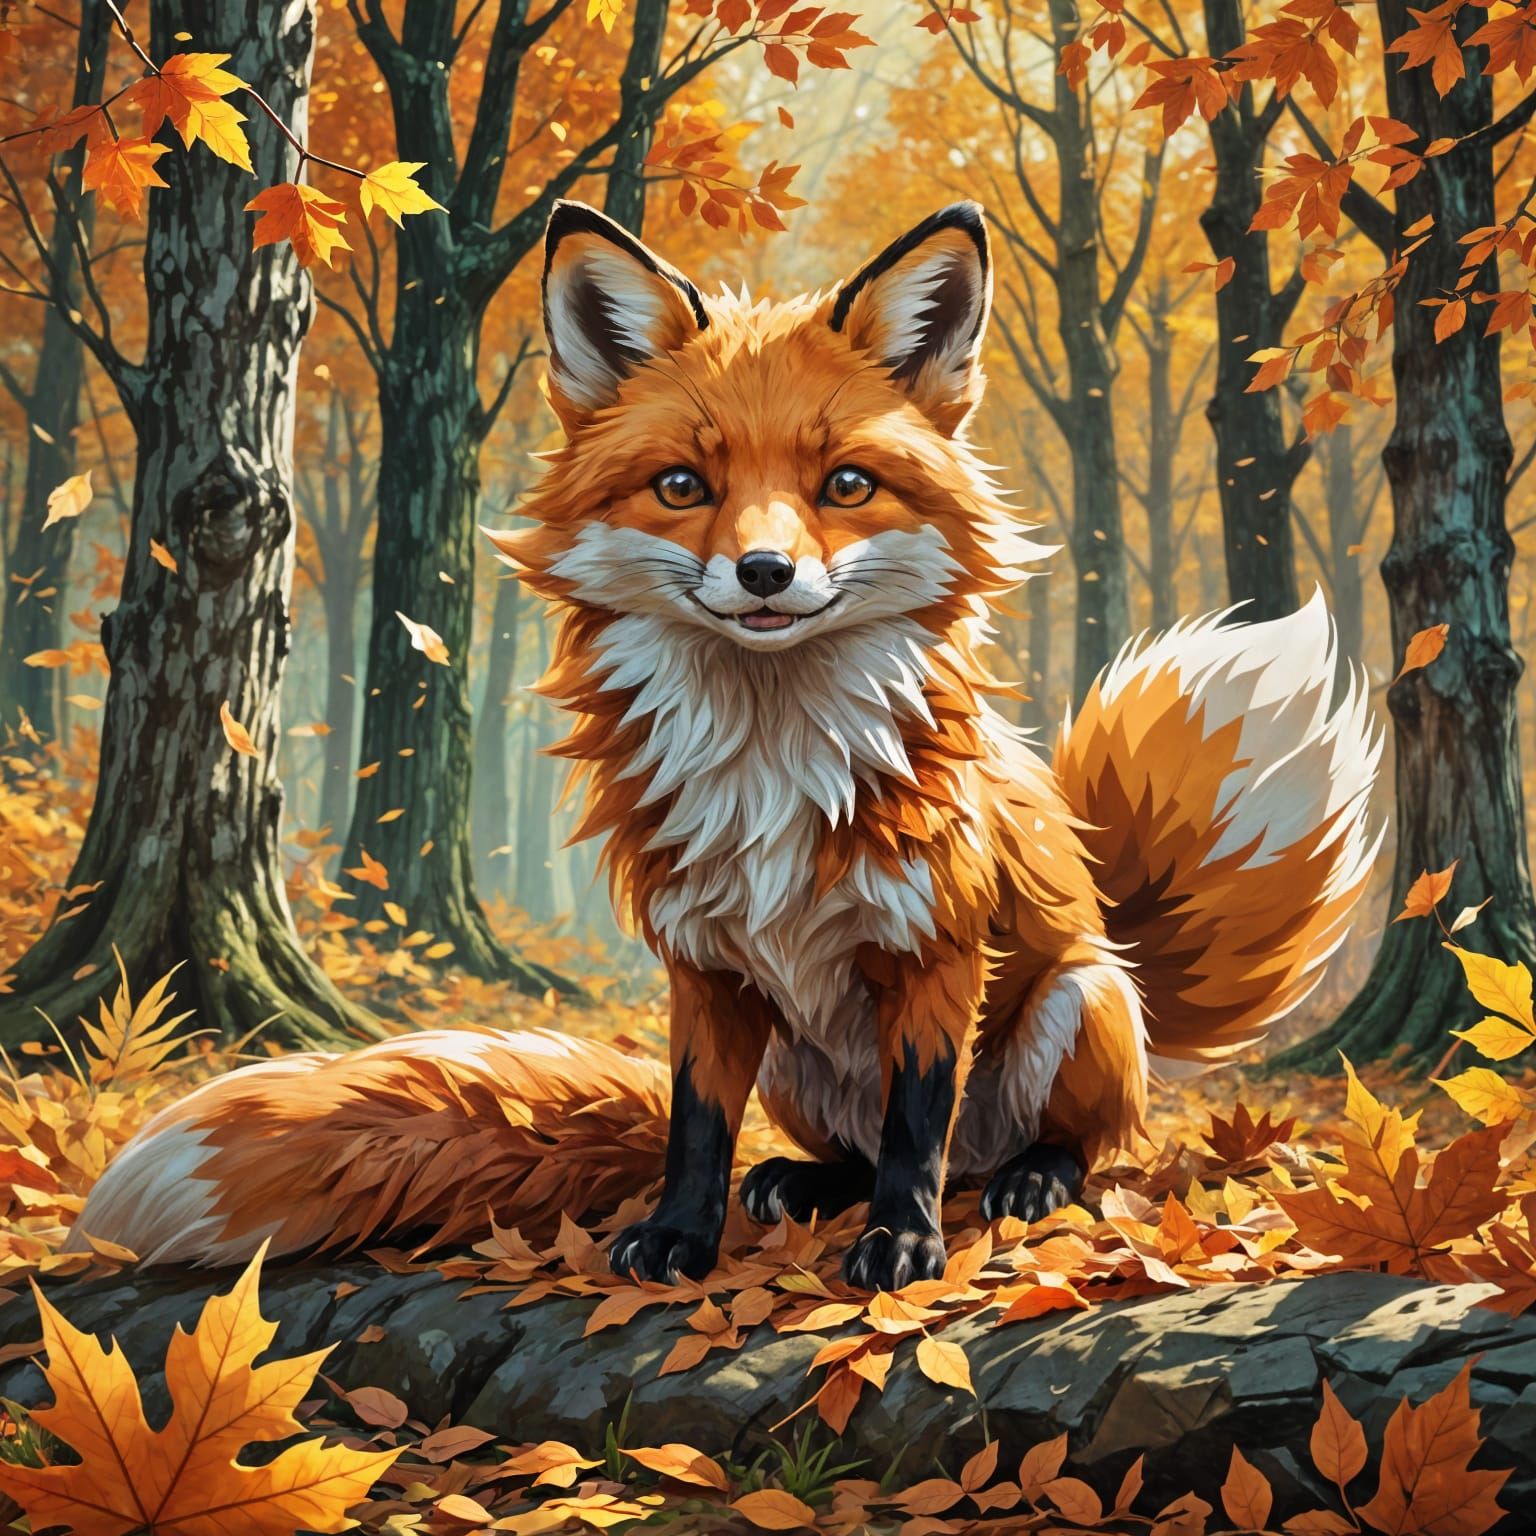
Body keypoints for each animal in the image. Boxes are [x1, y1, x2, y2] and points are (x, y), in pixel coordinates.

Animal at [72, 200, 1381, 1293]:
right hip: (802, 1060)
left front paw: (903, 1247)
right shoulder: (703, 963)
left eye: (846, 484)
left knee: (1047, 1142)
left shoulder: (936, 952)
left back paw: (1020, 1180)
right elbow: (696, 1125)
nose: (763, 571)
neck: (771, 772)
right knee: (841, 1146)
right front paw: (678, 1238)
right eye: (681, 485)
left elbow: (916, 1127)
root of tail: (1120, 935)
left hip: (1076, 992)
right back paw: (804, 1186)